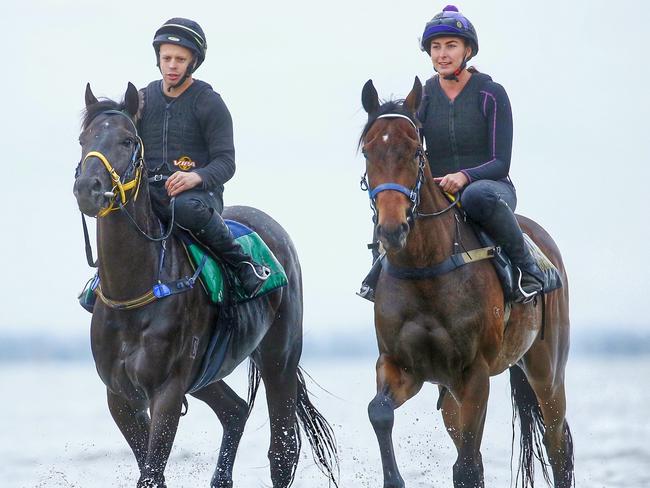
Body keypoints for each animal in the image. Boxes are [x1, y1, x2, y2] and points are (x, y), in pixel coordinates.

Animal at [73, 82, 336, 486]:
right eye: (84, 138)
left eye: (127, 140)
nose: (88, 187)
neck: (135, 291)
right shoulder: (120, 396)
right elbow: (150, 469)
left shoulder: (166, 391)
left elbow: (152, 471)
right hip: (207, 375)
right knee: (235, 410)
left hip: (280, 357)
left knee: (282, 449)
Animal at [360, 78, 572, 486]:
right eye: (367, 151)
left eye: (415, 152)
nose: (392, 230)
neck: (426, 269)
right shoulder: (401, 365)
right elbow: (378, 412)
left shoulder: (474, 374)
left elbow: (469, 465)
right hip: (450, 395)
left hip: (547, 370)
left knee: (558, 446)